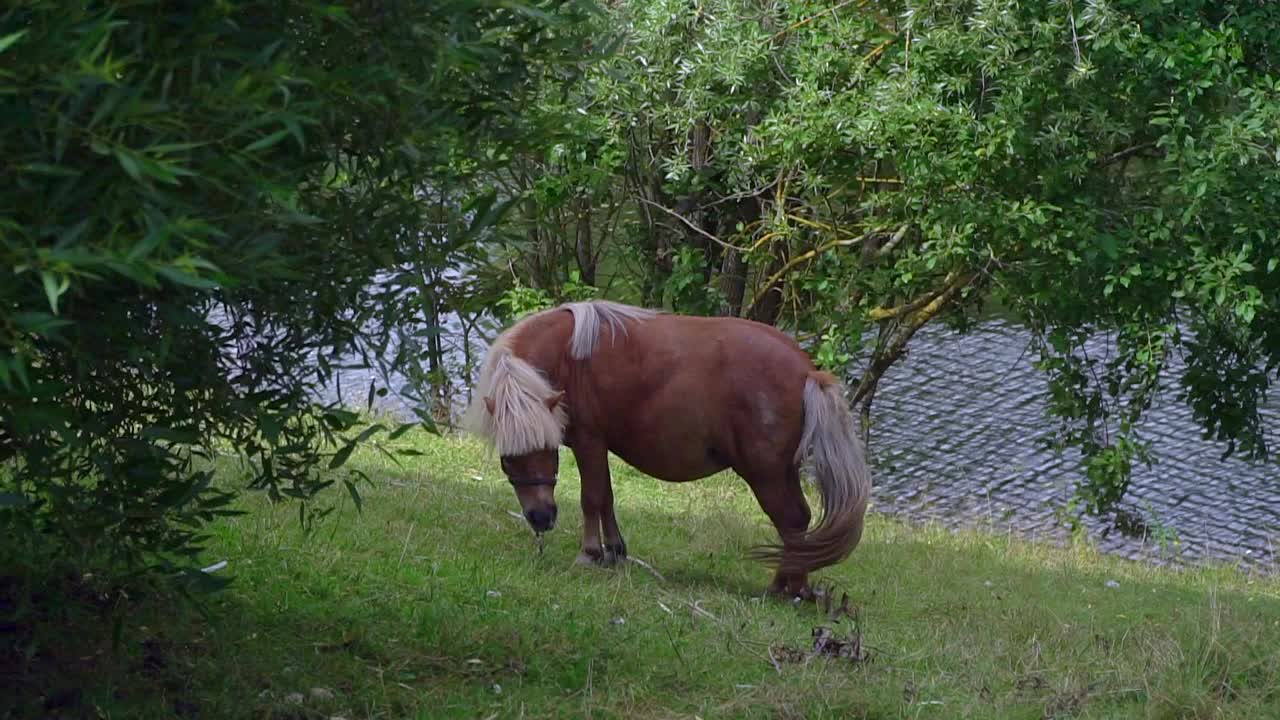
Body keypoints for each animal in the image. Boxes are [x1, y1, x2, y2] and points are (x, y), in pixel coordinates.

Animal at [460, 297, 870, 594]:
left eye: (545, 449)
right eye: (508, 459)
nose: (541, 518)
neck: (569, 355)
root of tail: (808, 371)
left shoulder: (589, 441)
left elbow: (591, 497)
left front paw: (590, 554)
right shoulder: (598, 446)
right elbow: (607, 497)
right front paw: (615, 551)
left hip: (765, 474)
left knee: (793, 520)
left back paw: (789, 589)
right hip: (782, 472)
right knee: (798, 522)